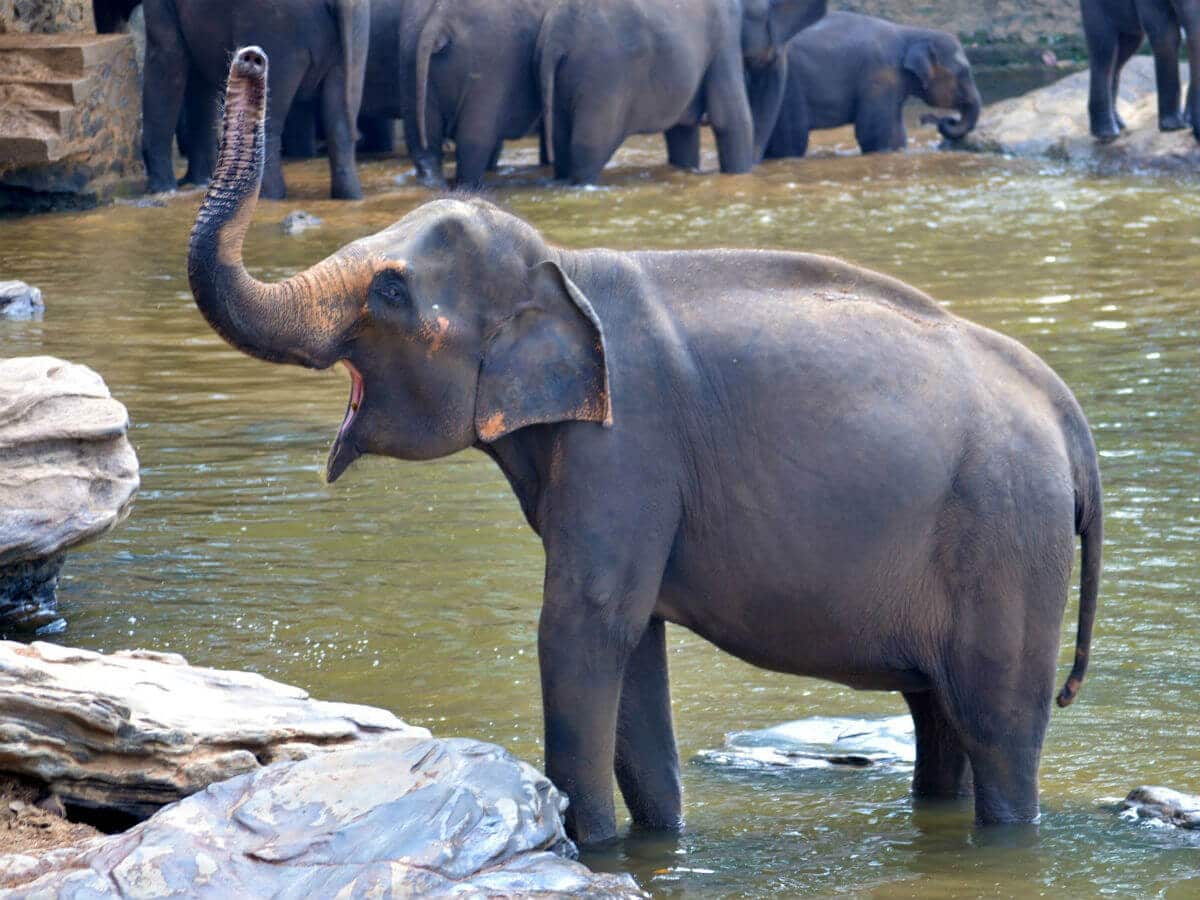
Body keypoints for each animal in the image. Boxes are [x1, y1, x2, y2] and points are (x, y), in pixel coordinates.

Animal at [140, 0, 367, 199]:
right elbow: (199, 81)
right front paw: (199, 182)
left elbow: (167, 59)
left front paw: (163, 190)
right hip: (353, 37)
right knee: (340, 118)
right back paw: (349, 196)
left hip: (277, 30)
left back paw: (265, 196)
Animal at [189, 49, 1104, 849]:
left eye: (388, 292)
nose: (251, 59)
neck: (564, 267)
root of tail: (1067, 415)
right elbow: (637, 648)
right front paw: (656, 837)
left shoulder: (626, 447)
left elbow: (583, 625)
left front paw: (587, 845)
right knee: (937, 717)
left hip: (1008, 544)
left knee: (997, 728)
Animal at [540, 0, 830, 183]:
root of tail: (556, 36)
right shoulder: (725, 36)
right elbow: (732, 120)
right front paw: (739, 174)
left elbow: (682, 132)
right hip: (603, 79)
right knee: (588, 147)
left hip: (566, 82)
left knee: (562, 144)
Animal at [763, 12, 979, 157]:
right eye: (964, 72)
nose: (928, 118)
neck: (909, 33)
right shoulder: (879, 76)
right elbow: (872, 132)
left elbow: (896, 133)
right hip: (788, 87)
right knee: (792, 138)